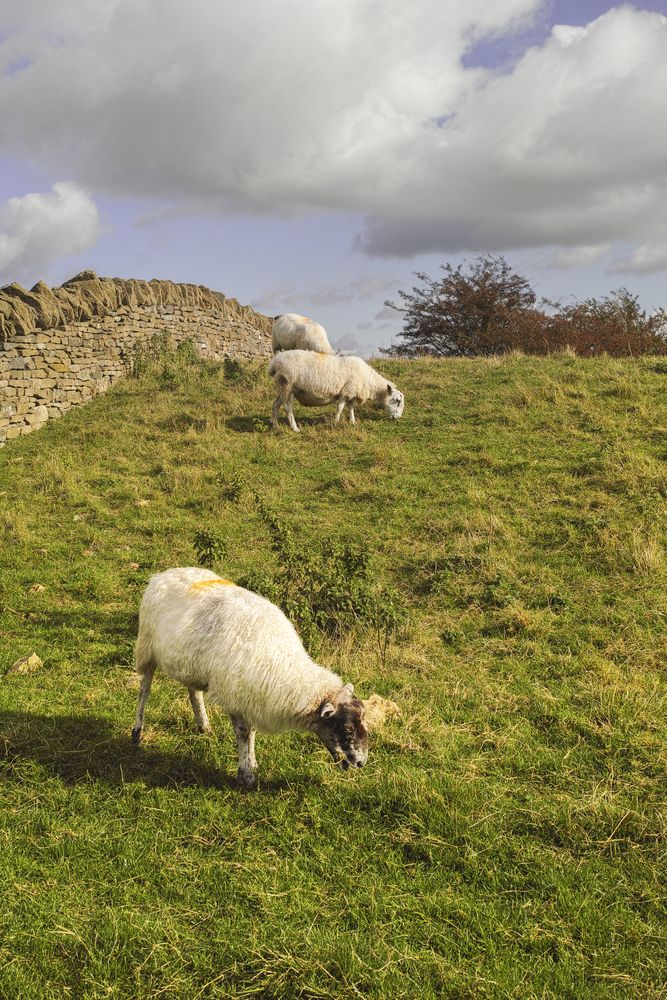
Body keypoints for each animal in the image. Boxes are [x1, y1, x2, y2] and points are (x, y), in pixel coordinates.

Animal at [132, 567, 368, 788]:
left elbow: (252, 731)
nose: (361, 763)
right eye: (347, 728)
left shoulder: (252, 694)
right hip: (146, 647)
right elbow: (244, 732)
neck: (282, 668)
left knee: (194, 693)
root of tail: (165, 574)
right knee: (144, 690)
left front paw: (252, 762)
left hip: (190, 664)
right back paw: (137, 733)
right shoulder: (235, 695)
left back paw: (203, 726)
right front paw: (245, 775)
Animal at [269, 349, 404, 431]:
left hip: (284, 388)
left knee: (275, 405)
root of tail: (274, 362)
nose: (396, 418)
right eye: (397, 401)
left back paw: (275, 426)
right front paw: (335, 422)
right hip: (288, 385)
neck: (369, 381)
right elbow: (340, 408)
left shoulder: (351, 393)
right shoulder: (346, 392)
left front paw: (352, 422)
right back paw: (295, 428)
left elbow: (351, 408)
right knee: (287, 408)